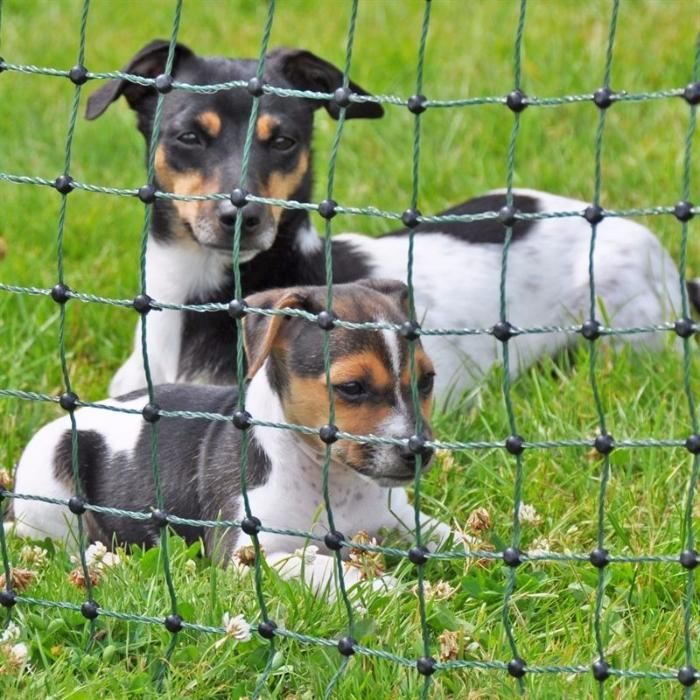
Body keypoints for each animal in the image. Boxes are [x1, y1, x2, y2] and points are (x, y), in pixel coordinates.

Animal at [10, 278, 452, 592]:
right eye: (352, 388)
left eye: (428, 381)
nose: (420, 452)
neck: (333, 481)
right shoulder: (245, 552)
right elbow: (320, 564)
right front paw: (383, 587)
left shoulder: (396, 517)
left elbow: (451, 536)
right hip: (54, 483)